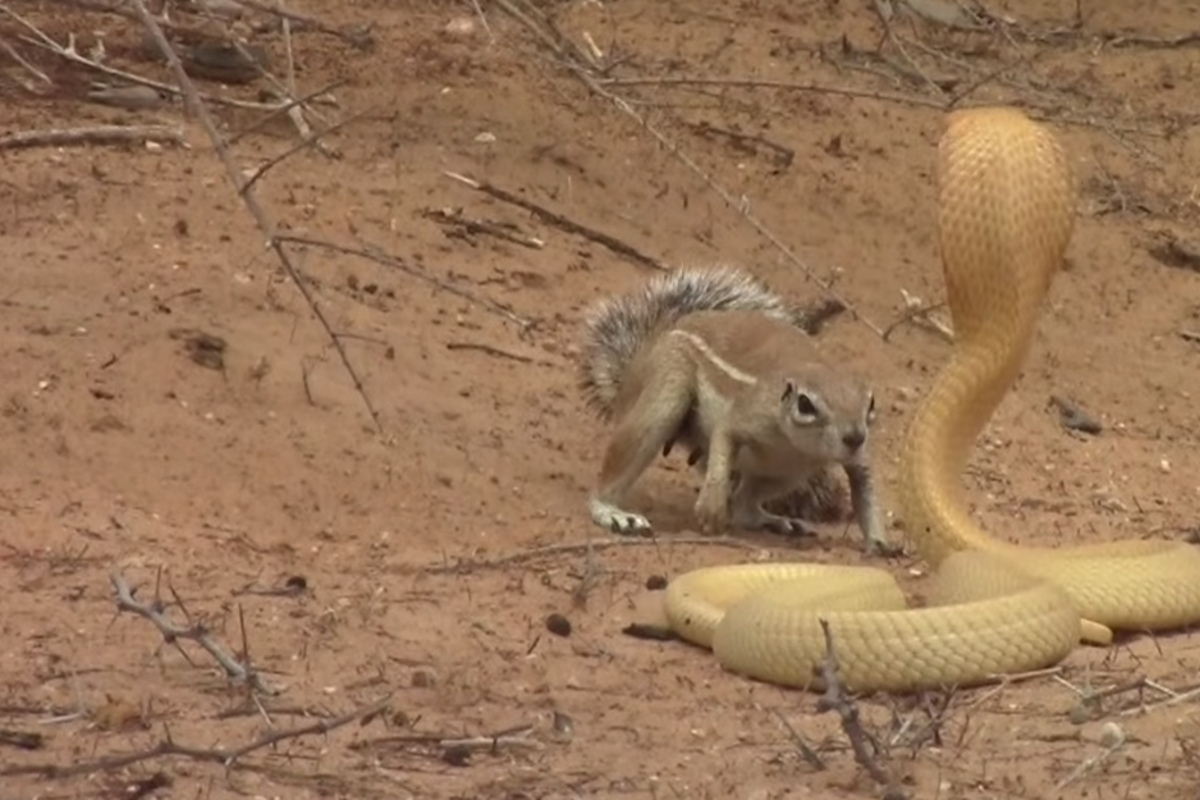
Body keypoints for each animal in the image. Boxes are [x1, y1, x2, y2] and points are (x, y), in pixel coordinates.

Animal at [576, 266, 897, 554]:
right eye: (805, 404)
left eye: (871, 403)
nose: (855, 437)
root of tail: (637, 365)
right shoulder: (749, 416)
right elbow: (725, 437)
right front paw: (712, 509)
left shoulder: (853, 458)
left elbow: (866, 489)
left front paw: (882, 543)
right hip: (664, 391)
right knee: (620, 466)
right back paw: (613, 513)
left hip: (789, 473)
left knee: (745, 505)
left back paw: (773, 520)